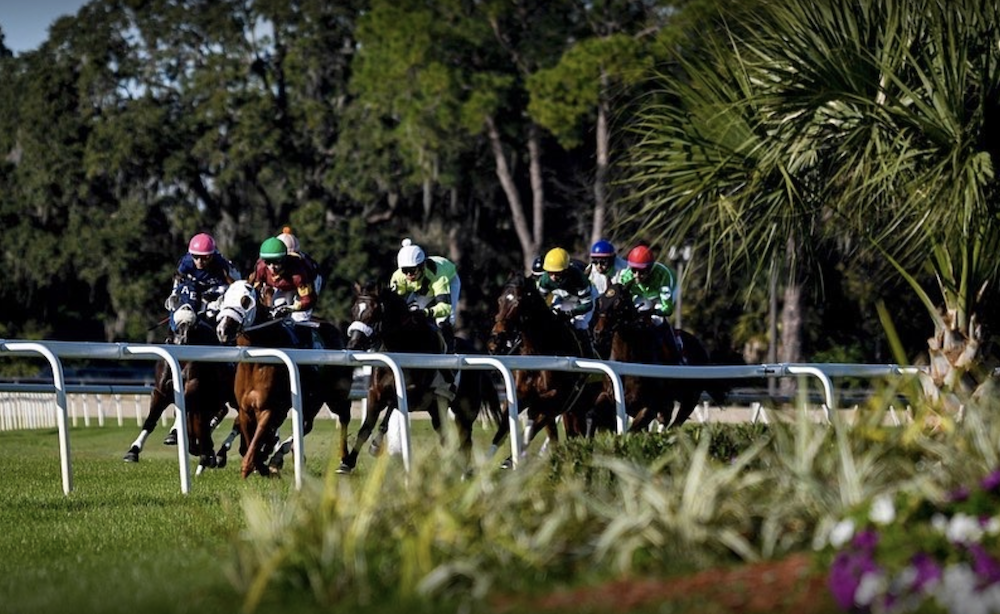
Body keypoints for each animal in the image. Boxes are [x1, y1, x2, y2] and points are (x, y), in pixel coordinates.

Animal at [123, 282, 236, 472]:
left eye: (195, 299)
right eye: (176, 298)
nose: (184, 325)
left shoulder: (193, 388)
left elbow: (184, 412)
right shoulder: (160, 391)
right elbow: (151, 420)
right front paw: (133, 451)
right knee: (215, 414)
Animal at [215, 280, 353, 479]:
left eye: (245, 300)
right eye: (224, 298)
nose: (223, 330)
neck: (256, 361)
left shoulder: (270, 408)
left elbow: (258, 437)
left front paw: (250, 466)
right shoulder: (245, 409)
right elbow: (250, 440)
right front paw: (262, 464)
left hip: (335, 396)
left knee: (343, 418)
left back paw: (344, 462)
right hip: (311, 399)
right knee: (306, 424)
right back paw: (279, 456)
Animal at [338, 280, 504, 474]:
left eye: (372, 313)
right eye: (353, 310)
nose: (353, 344)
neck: (404, 347)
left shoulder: (414, 396)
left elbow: (390, 409)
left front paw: (375, 446)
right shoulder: (375, 394)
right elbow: (365, 428)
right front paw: (347, 463)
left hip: (465, 409)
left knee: (465, 440)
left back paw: (464, 472)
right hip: (437, 409)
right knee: (446, 437)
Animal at [486, 271, 600, 458]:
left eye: (518, 301)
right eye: (500, 300)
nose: (496, 339)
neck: (539, 352)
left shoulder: (558, 398)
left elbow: (535, 412)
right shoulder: (521, 394)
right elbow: (503, 427)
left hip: (581, 404)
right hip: (572, 410)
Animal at [590, 283, 729, 432]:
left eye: (618, 302)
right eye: (599, 301)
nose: (598, 333)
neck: (628, 363)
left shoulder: (649, 407)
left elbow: (633, 430)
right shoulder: (612, 396)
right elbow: (595, 410)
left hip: (689, 399)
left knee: (675, 424)